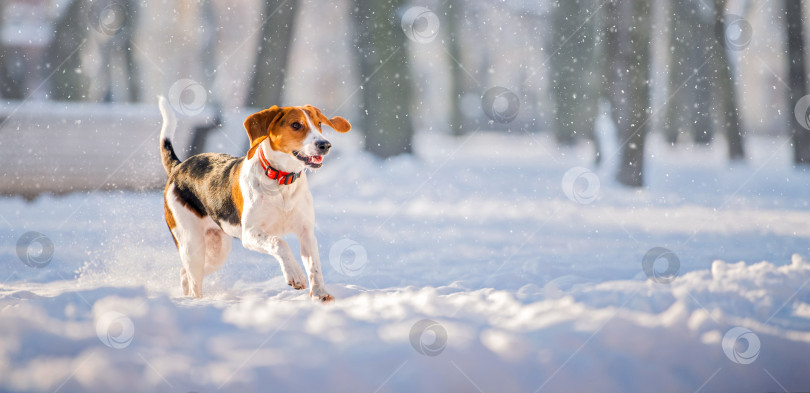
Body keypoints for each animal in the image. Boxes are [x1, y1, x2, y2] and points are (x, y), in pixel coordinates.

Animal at [156, 96, 348, 302]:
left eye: (319, 124)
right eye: (296, 125)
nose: (325, 145)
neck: (281, 180)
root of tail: (179, 166)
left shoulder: (306, 232)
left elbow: (314, 266)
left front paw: (320, 294)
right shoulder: (250, 234)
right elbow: (280, 243)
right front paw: (295, 275)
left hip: (217, 250)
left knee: (185, 273)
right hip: (192, 243)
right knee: (193, 279)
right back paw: (196, 301)